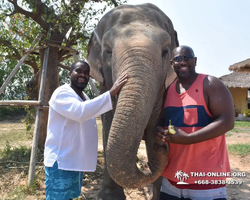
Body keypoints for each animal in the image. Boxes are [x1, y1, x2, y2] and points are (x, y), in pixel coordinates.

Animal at [87, 3, 179, 200]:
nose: (163, 145)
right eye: (108, 52)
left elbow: (153, 128)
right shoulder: (104, 86)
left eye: (165, 52)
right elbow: (108, 127)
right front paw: (109, 197)